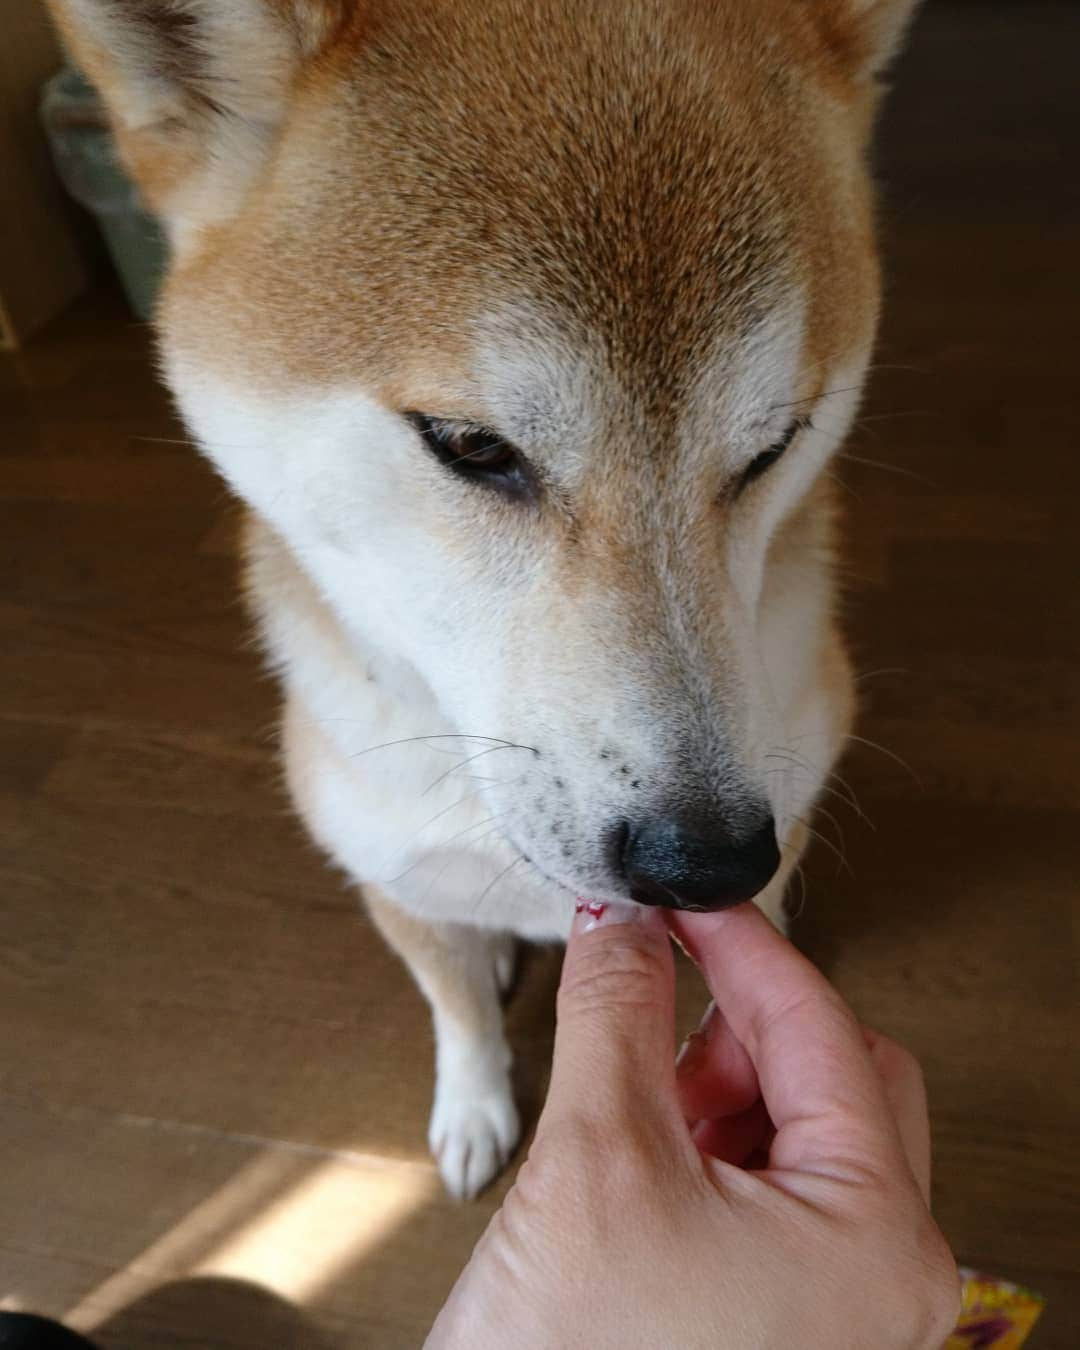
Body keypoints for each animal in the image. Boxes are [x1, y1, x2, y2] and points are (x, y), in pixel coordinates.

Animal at [48, 0, 918, 1204]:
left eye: (774, 447)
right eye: (470, 446)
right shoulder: (397, 885)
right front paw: (471, 1111)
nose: (707, 863)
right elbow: (454, 1009)